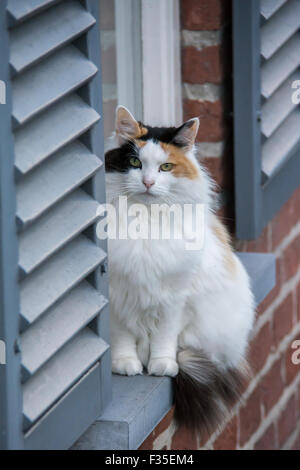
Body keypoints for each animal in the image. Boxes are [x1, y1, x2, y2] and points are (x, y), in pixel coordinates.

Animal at [104, 105, 254, 430]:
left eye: (166, 168)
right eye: (135, 163)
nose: (148, 183)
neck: (144, 223)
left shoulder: (175, 297)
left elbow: (164, 336)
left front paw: (162, 365)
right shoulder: (118, 295)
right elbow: (122, 336)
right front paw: (125, 364)